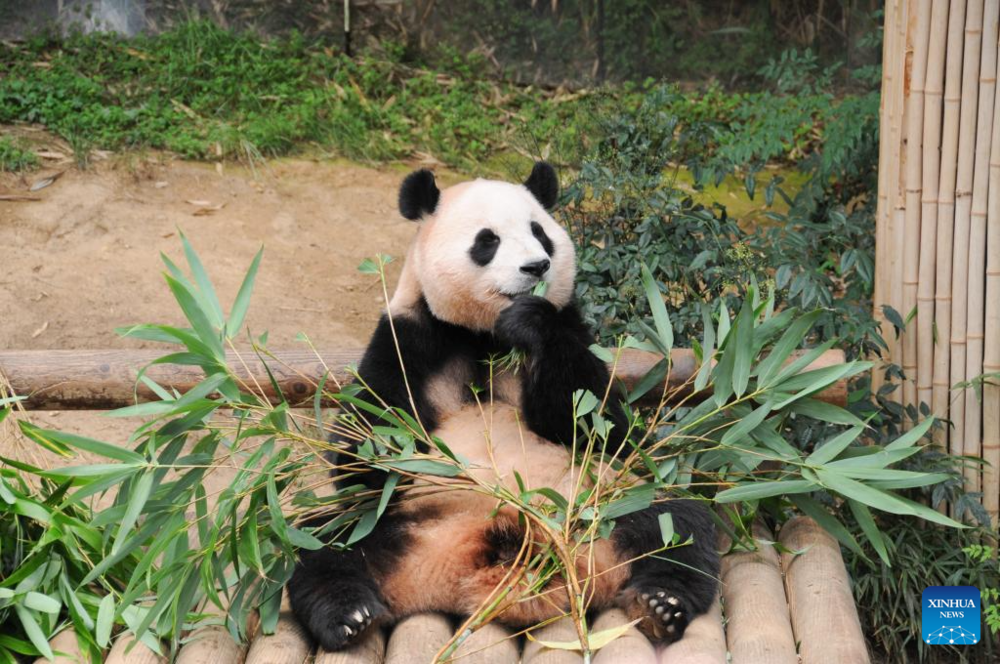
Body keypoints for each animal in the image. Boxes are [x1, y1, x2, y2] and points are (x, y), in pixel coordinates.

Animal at [288, 163, 720, 652]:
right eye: (487, 240)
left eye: (540, 233)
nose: (537, 267)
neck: (485, 334)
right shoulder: (407, 336)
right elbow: (362, 454)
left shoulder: (571, 327)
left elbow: (597, 421)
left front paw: (531, 318)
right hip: (400, 520)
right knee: (323, 543)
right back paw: (349, 615)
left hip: (607, 503)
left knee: (676, 522)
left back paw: (660, 605)